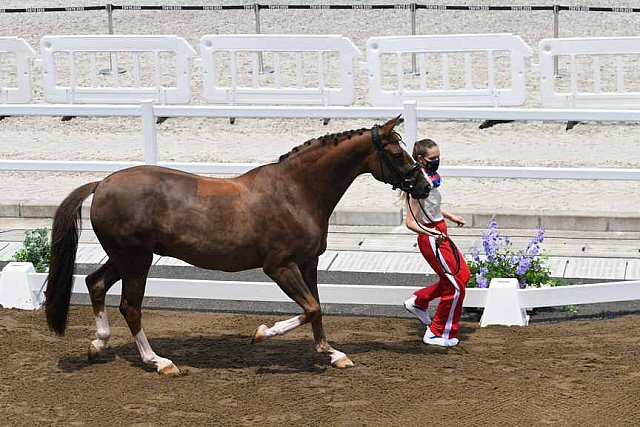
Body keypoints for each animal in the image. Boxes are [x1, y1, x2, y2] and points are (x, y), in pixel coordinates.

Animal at [45, 117, 430, 374]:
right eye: (396, 152)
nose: (424, 187)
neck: (296, 192)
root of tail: (102, 183)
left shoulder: (309, 262)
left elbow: (318, 307)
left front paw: (332, 353)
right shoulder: (279, 267)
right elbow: (309, 308)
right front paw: (262, 334)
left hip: (126, 258)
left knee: (95, 283)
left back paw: (98, 344)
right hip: (136, 260)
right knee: (130, 307)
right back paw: (159, 361)